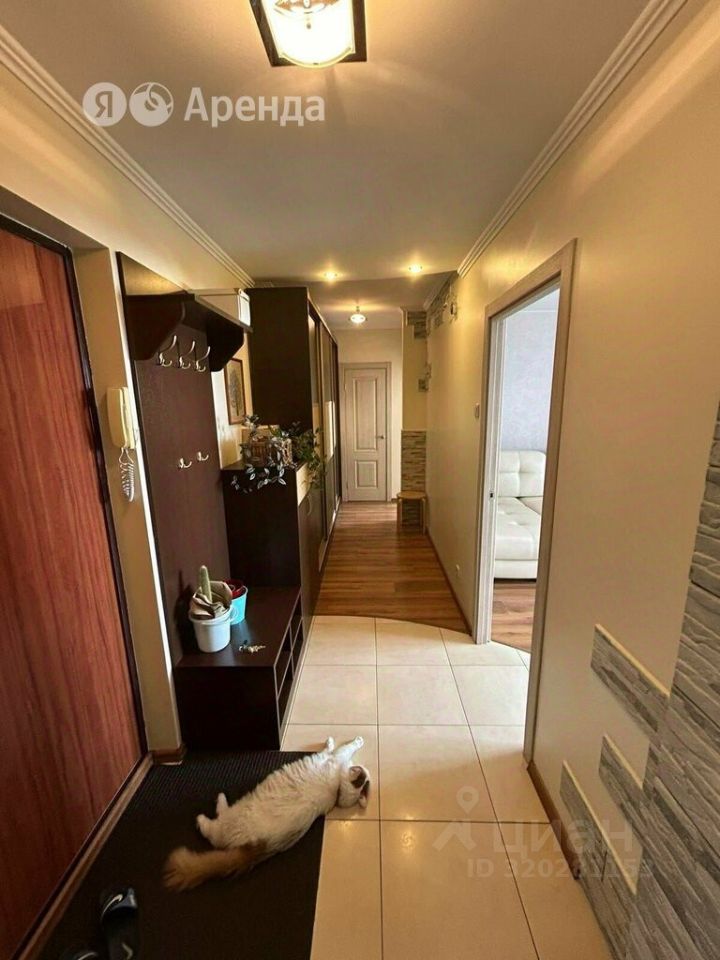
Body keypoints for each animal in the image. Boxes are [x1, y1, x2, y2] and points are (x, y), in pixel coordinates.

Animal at [164, 736, 370, 891]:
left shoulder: (333, 756)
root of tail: (258, 849)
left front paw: (356, 741)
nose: (363, 768)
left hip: (230, 819)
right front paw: (334, 740)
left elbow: (344, 747)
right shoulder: (329, 757)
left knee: (213, 829)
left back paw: (212, 807)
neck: (338, 791)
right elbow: (332, 747)